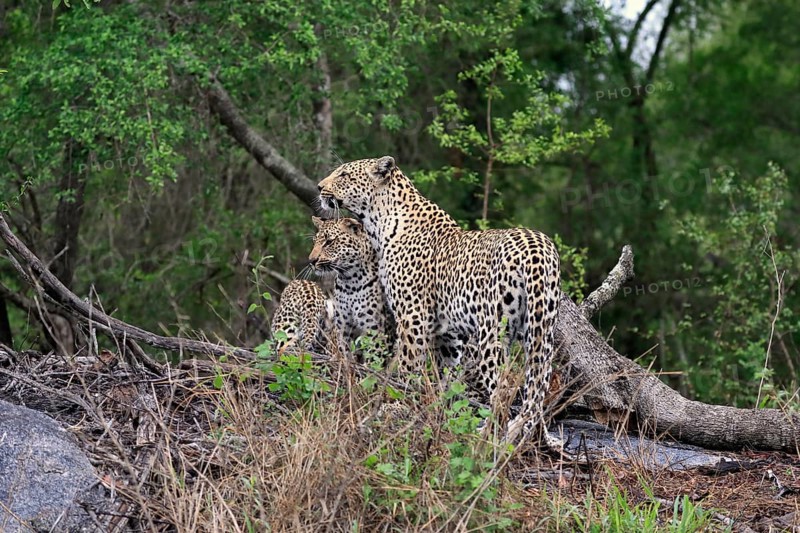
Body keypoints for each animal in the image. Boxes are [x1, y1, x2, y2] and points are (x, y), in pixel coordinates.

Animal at [308, 216, 394, 361]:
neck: (350, 281)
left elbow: (374, 359)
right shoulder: (343, 324)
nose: (312, 261)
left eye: (329, 242)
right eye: (315, 242)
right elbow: (344, 353)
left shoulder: (375, 329)